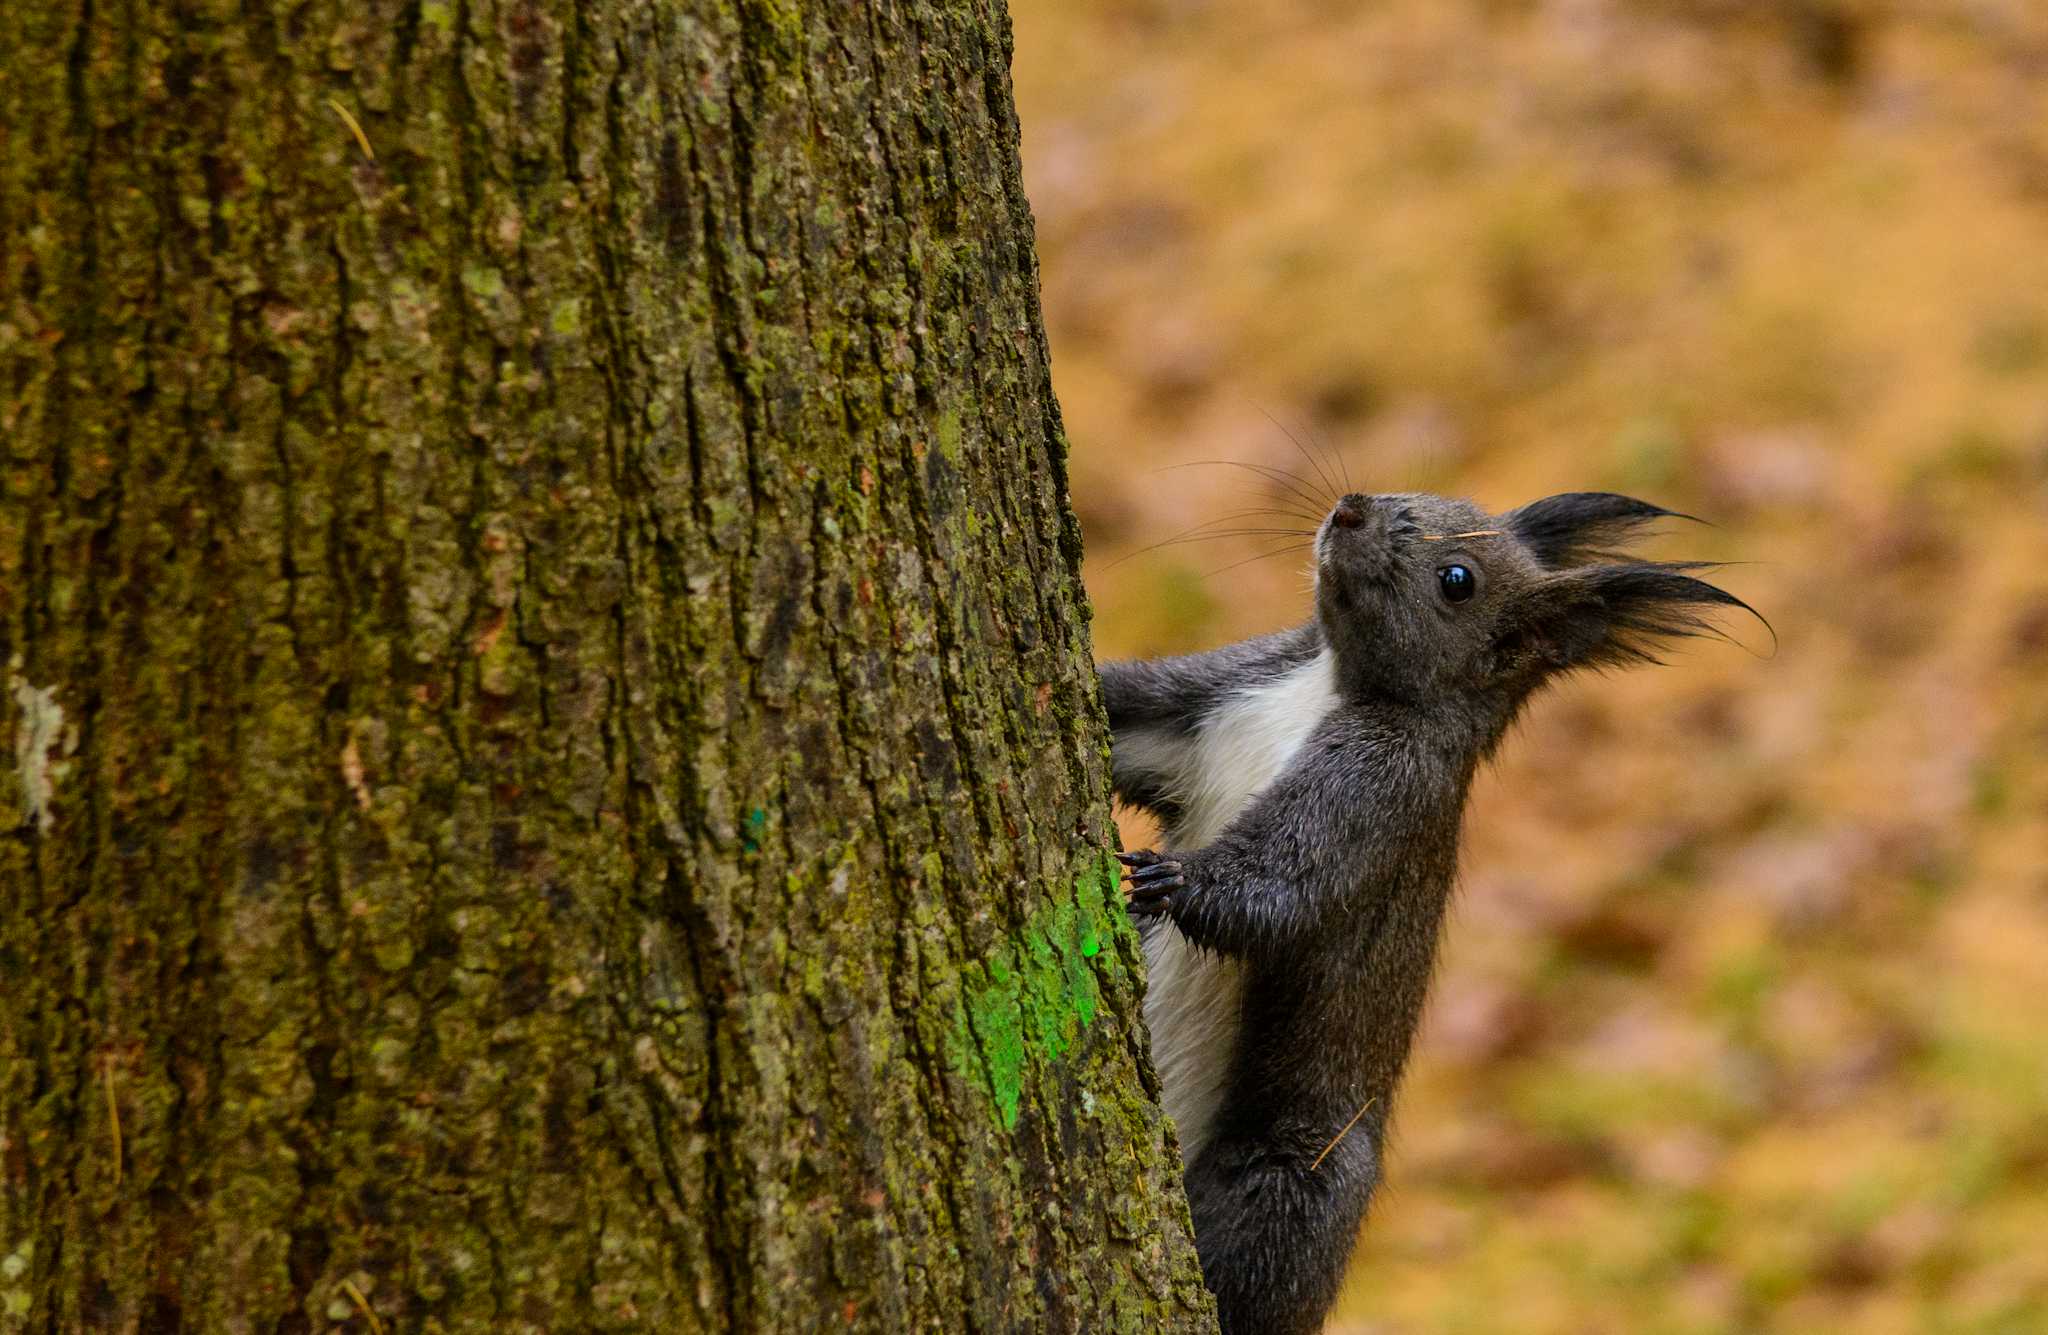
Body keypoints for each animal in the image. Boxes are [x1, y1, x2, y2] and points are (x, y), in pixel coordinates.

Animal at [1097, 489, 1753, 1334]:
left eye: (1457, 579)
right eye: (1436, 497)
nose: (1350, 508)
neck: (1327, 684)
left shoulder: (1383, 791)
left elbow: (1278, 886)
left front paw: (1173, 878)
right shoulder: (1212, 701)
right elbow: (1126, 719)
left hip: (1292, 1178)